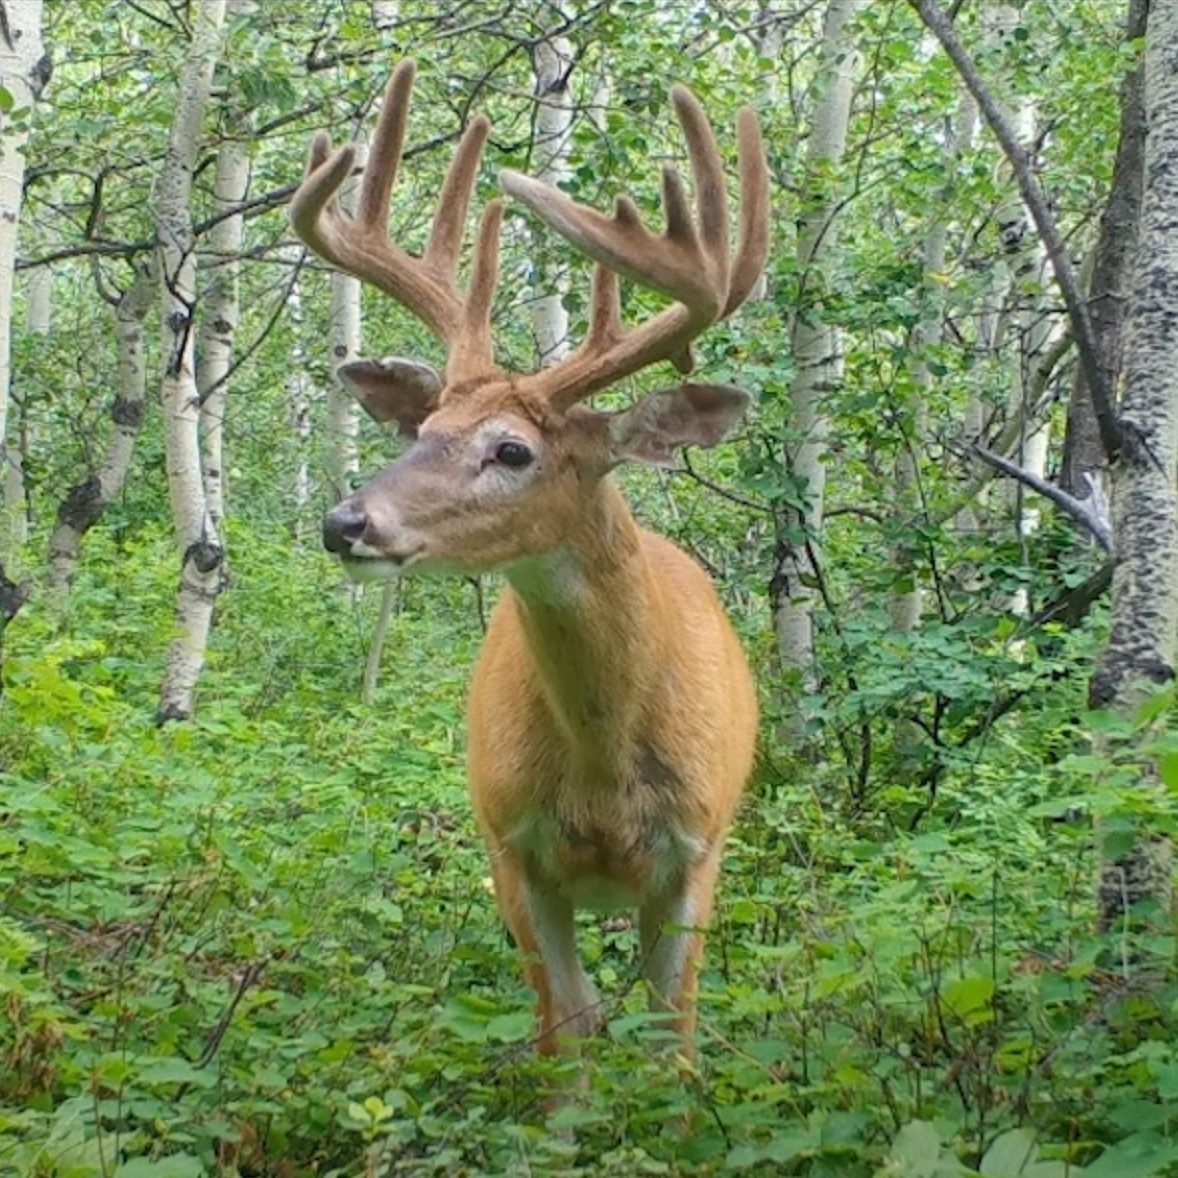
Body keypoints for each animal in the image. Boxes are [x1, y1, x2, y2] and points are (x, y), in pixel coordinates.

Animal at [291, 60, 768, 1062]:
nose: (344, 523)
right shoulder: (511, 847)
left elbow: (672, 1034)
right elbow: (569, 1030)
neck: (603, 776)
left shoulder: (697, 851)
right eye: (423, 429)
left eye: (512, 450)